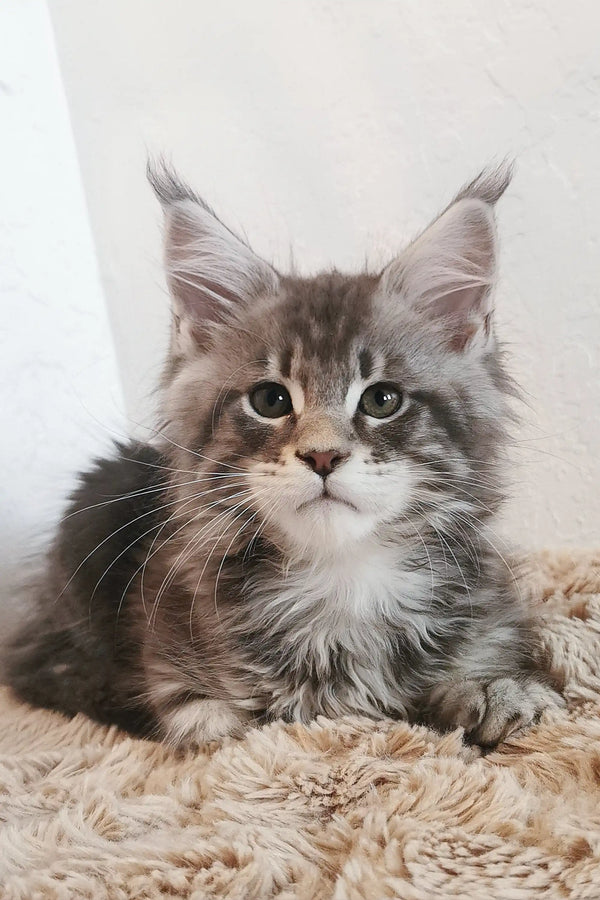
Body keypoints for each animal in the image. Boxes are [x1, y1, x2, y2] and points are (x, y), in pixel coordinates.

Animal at [8, 163, 564, 752]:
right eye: (271, 400)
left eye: (382, 400)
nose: (322, 456)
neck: (342, 580)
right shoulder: (165, 655)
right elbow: (211, 719)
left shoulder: (492, 614)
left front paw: (497, 691)